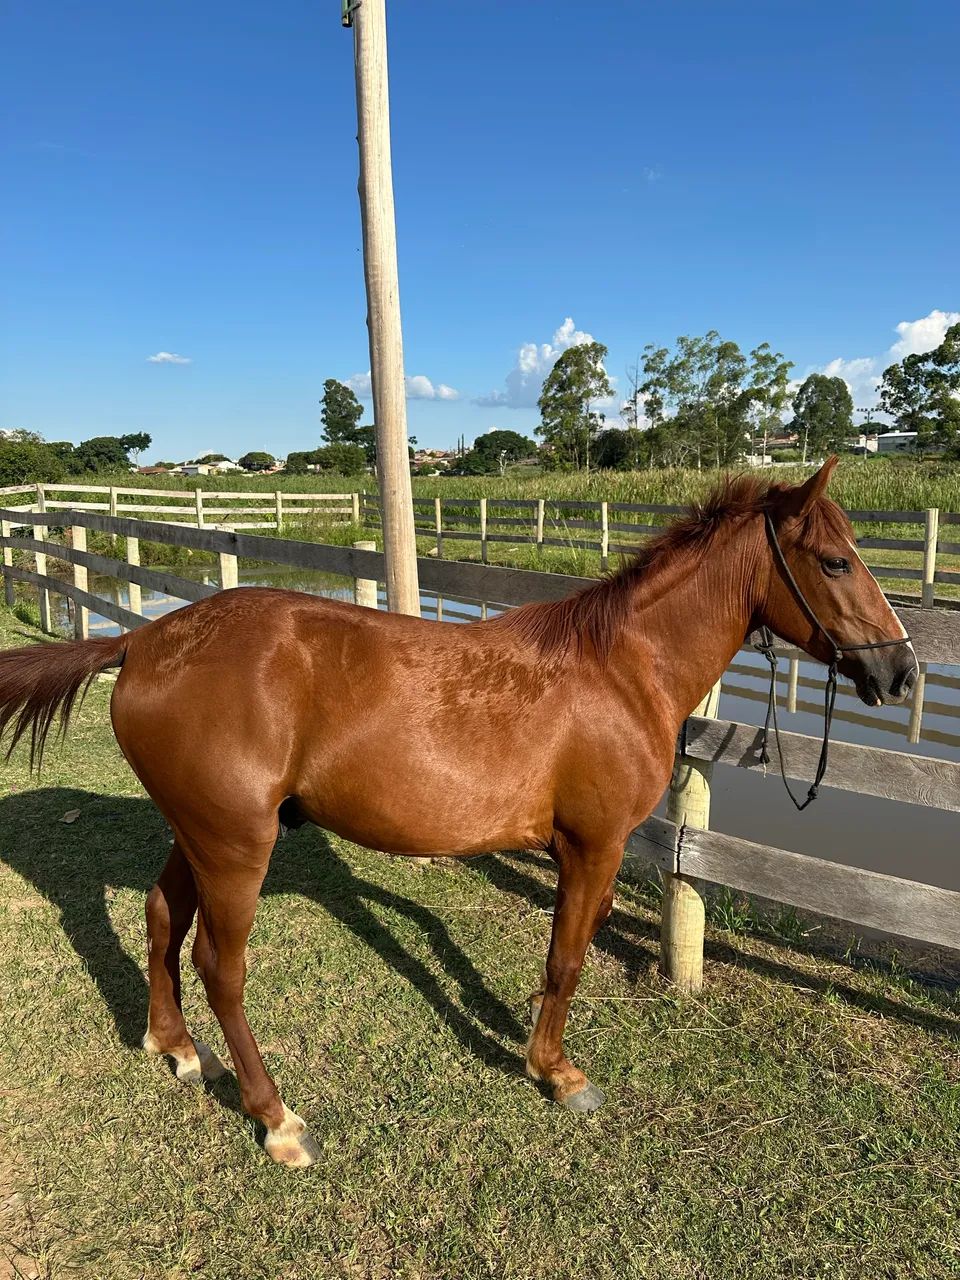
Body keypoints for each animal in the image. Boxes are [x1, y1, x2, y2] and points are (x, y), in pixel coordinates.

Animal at [0, 458, 917, 1168]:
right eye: (836, 562)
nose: (901, 672)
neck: (621, 669)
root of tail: (143, 642)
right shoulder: (592, 845)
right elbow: (566, 960)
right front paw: (555, 1073)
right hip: (235, 846)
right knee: (219, 968)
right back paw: (276, 1118)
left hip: (197, 833)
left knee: (161, 916)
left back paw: (176, 1047)